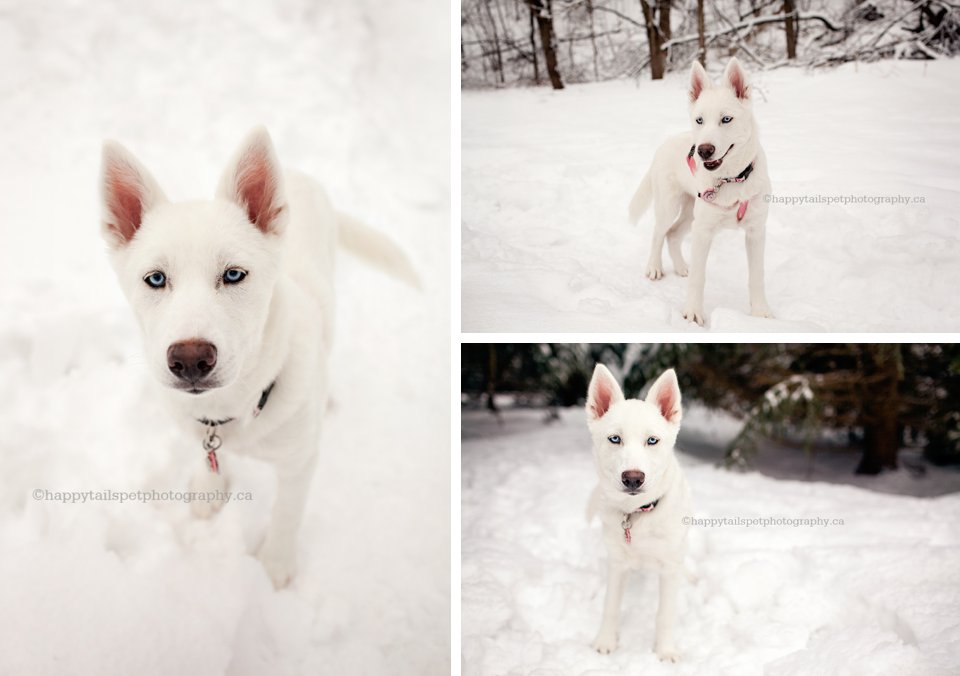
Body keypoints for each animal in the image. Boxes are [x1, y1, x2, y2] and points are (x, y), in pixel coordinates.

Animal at [99, 125, 418, 588]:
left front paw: (275, 566)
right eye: (155, 279)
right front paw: (209, 488)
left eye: (234, 274)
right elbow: (206, 457)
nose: (190, 360)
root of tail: (298, 171)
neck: (234, 409)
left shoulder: (300, 462)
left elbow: (287, 513)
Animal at [584, 364, 688, 660]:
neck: (637, 514)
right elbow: (610, 606)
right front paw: (605, 641)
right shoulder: (618, 564)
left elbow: (665, 614)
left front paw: (665, 651)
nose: (633, 478)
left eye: (652, 440)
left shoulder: (669, 567)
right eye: (614, 439)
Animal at [632, 55, 772, 324]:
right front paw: (693, 313)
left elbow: (757, 276)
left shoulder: (756, 231)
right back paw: (654, 267)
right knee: (658, 233)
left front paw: (760, 312)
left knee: (672, 235)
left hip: (690, 214)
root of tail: (664, 144)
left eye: (726, 119)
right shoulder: (704, 232)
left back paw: (680, 267)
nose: (703, 150)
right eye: (699, 120)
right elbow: (699, 277)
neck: (732, 179)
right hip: (671, 208)